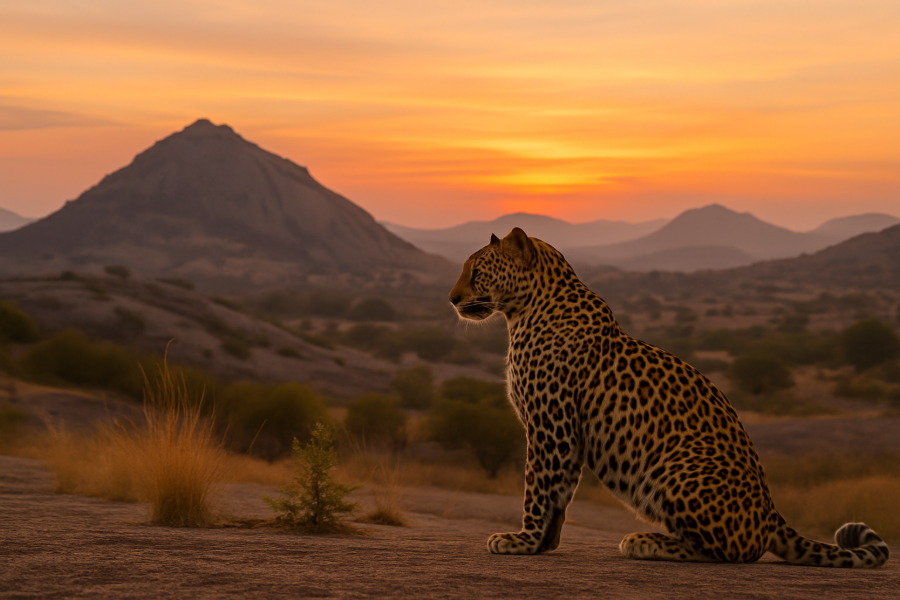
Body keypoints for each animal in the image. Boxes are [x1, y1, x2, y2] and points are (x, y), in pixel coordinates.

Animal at [449, 226, 889, 568]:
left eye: (477, 271)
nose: (451, 299)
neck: (522, 312)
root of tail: (769, 512)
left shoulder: (550, 425)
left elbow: (538, 489)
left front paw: (521, 540)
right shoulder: (566, 431)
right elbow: (560, 493)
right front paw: (543, 544)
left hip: (675, 469)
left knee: (735, 551)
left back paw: (645, 542)